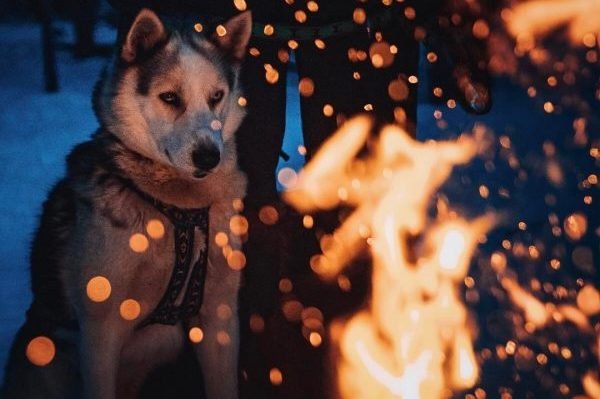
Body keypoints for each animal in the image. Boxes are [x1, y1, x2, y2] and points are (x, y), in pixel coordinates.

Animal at [2, 9, 251, 399]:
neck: (177, 208)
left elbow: (224, 384)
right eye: (170, 97)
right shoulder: (101, 329)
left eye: (216, 96)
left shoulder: (219, 314)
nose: (209, 156)